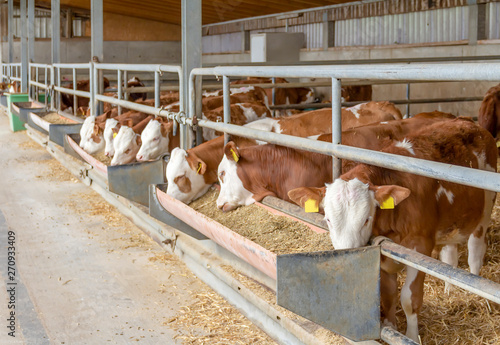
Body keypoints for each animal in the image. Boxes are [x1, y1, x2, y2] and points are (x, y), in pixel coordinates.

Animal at [288, 118, 498, 342]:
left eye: (366, 219)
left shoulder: (420, 248)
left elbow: (409, 298)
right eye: (328, 219)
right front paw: (390, 328)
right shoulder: (382, 254)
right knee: (449, 257)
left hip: (485, 210)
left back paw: (475, 292)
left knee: (475, 252)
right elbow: (388, 295)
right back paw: (449, 291)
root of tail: (469, 124)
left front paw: (411, 337)